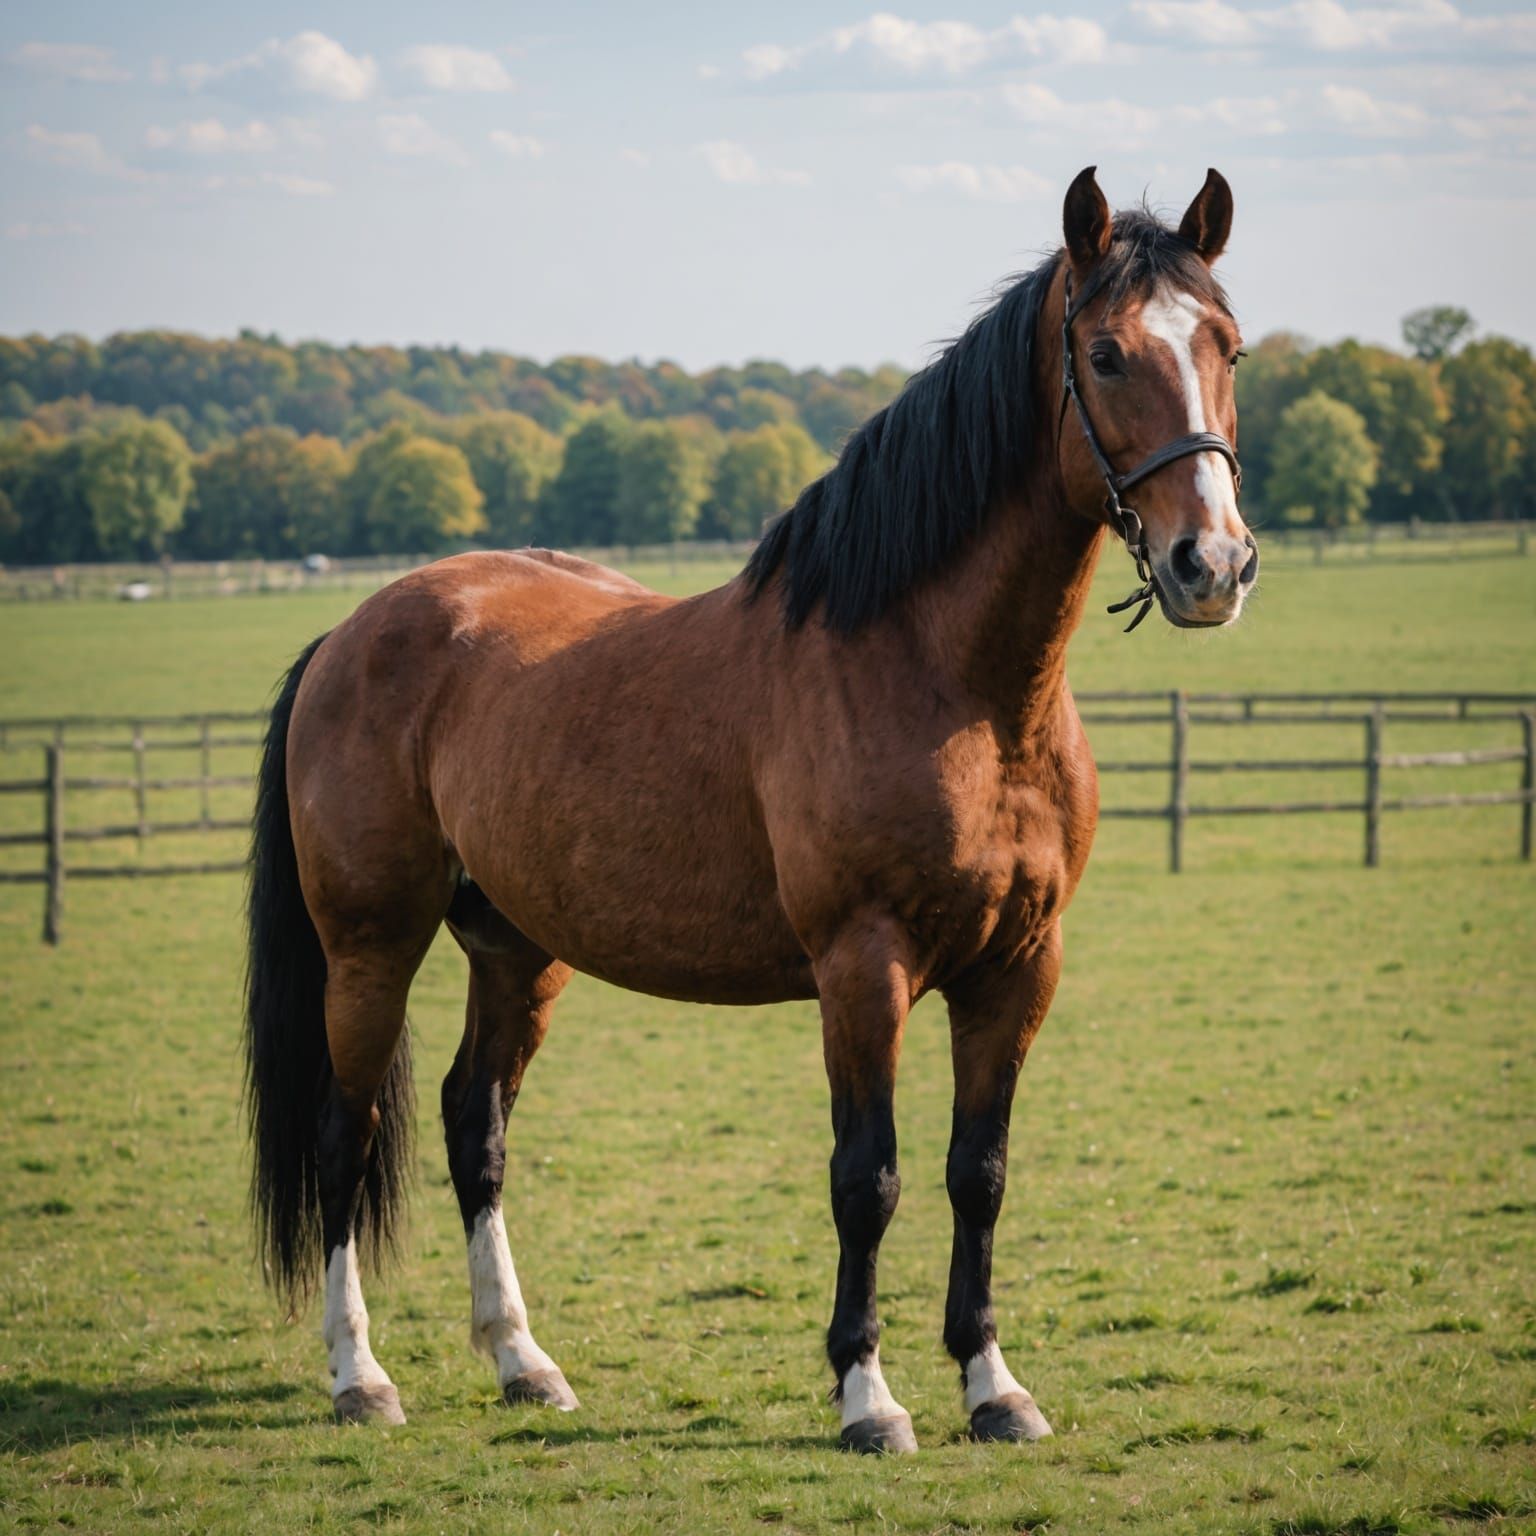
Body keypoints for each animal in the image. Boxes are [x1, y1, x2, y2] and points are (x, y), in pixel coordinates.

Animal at [245, 166, 1257, 1453]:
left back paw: (523, 1361)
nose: (1211, 565)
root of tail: (353, 629)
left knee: (477, 1128)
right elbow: (867, 1178)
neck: (945, 678)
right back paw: (360, 1376)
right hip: (370, 948)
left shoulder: (1018, 968)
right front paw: (868, 1397)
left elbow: (977, 1173)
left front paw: (993, 1386)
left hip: (515, 947)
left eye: (1228, 345)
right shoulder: (862, 967)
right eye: (1109, 353)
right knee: (345, 1136)